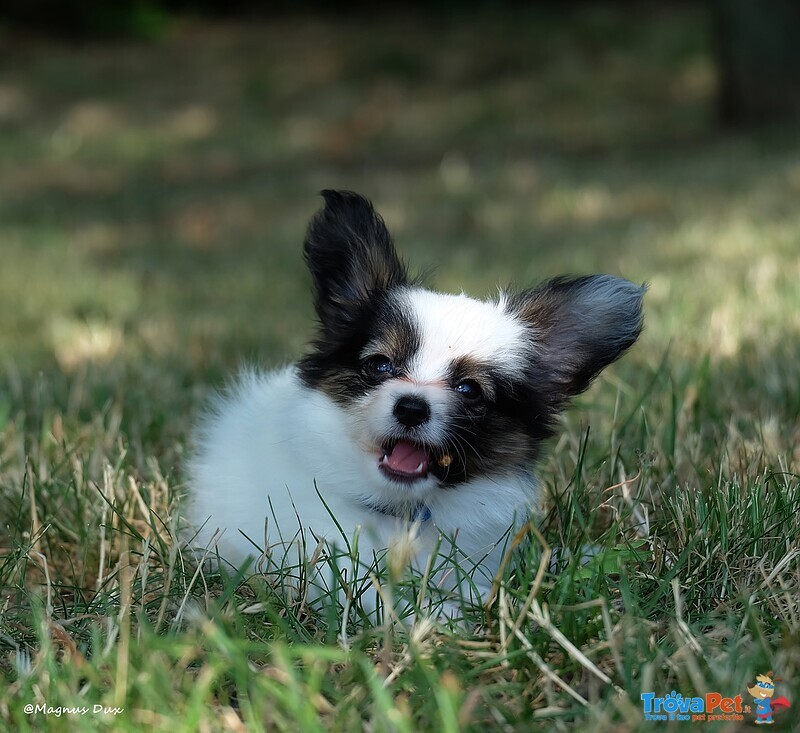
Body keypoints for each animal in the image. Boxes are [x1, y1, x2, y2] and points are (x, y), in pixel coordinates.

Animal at [186, 190, 644, 616]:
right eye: (380, 365)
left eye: (470, 390)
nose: (411, 407)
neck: (404, 512)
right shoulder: (328, 564)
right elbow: (384, 596)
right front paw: (450, 618)